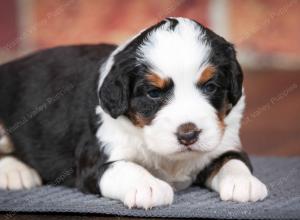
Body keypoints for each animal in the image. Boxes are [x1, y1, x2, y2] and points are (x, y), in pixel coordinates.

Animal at [0, 17, 268, 210]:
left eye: (210, 87)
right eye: (153, 93)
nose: (188, 135)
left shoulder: (225, 142)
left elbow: (233, 161)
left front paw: (244, 182)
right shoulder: (97, 161)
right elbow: (126, 167)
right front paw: (148, 187)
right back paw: (16, 173)